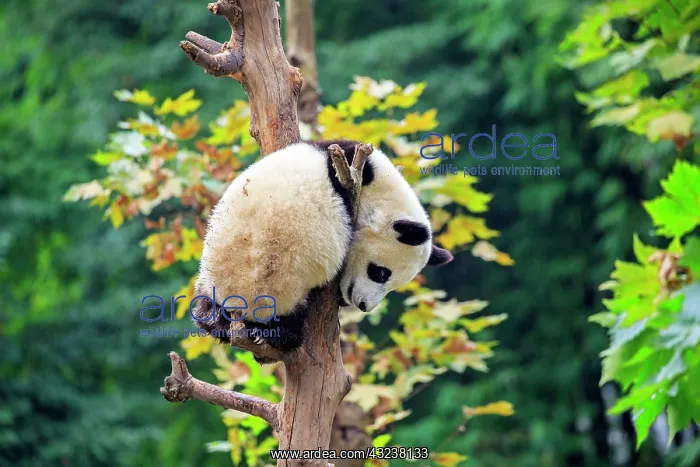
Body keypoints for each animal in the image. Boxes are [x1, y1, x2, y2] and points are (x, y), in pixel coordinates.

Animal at [191, 140, 453, 357]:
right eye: (380, 273)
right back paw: (275, 335)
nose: (364, 306)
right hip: (278, 289)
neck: (380, 196)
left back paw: (218, 322)